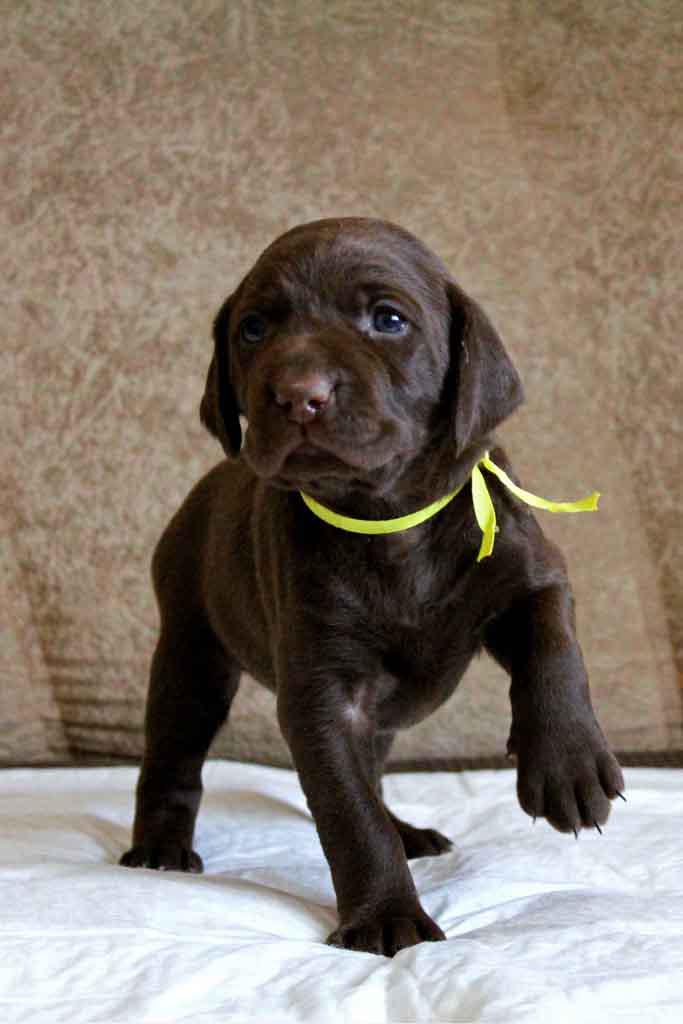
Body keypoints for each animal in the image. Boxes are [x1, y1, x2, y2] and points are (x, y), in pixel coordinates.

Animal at [120, 217, 624, 956]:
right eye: (253, 330)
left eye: (388, 320)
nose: (298, 393)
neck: (388, 517)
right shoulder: (323, 693)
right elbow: (351, 814)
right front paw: (387, 915)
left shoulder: (528, 574)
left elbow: (553, 645)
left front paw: (567, 763)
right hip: (192, 653)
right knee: (174, 757)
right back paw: (159, 847)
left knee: (376, 769)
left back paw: (410, 829)